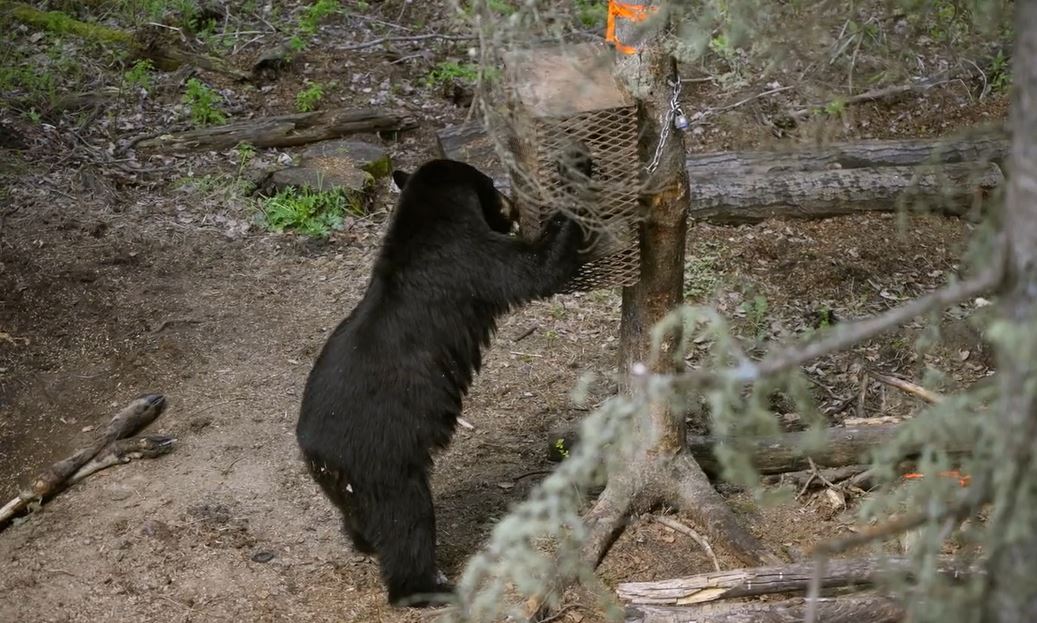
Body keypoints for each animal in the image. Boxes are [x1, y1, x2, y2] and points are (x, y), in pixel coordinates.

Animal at [296, 157, 597, 605]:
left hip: (350, 484)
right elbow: (533, 270)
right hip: (385, 462)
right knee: (407, 523)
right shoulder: (470, 260)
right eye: (492, 186)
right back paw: (428, 588)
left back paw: (364, 543)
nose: (511, 206)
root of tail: (315, 452)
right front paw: (576, 177)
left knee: (360, 518)